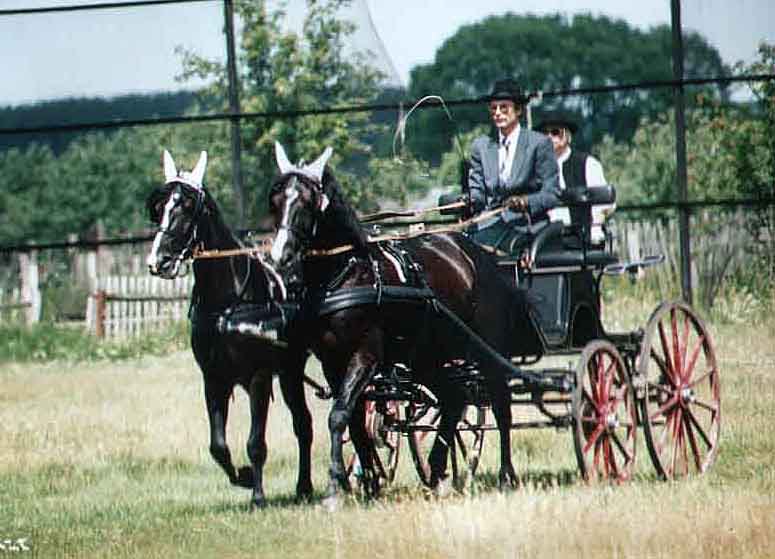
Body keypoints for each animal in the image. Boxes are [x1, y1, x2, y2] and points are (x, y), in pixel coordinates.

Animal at [144, 150, 314, 508]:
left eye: (188, 207)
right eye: (159, 207)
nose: (158, 261)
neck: (227, 302)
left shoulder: (259, 377)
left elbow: (256, 443)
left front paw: (258, 496)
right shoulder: (214, 378)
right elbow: (218, 446)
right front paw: (244, 477)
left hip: (291, 370)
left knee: (303, 425)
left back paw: (305, 486)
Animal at [270, 141, 544, 508]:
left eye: (306, 203)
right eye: (275, 200)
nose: (279, 257)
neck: (347, 272)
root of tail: (478, 255)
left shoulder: (366, 355)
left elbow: (339, 416)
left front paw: (334, 488)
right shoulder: (333, 362)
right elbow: (354, 421)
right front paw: (368, 483)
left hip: (484, 349)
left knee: (500, 403)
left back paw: (505, 475)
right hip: (428, 356)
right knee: (453, 399)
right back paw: (437, 470)